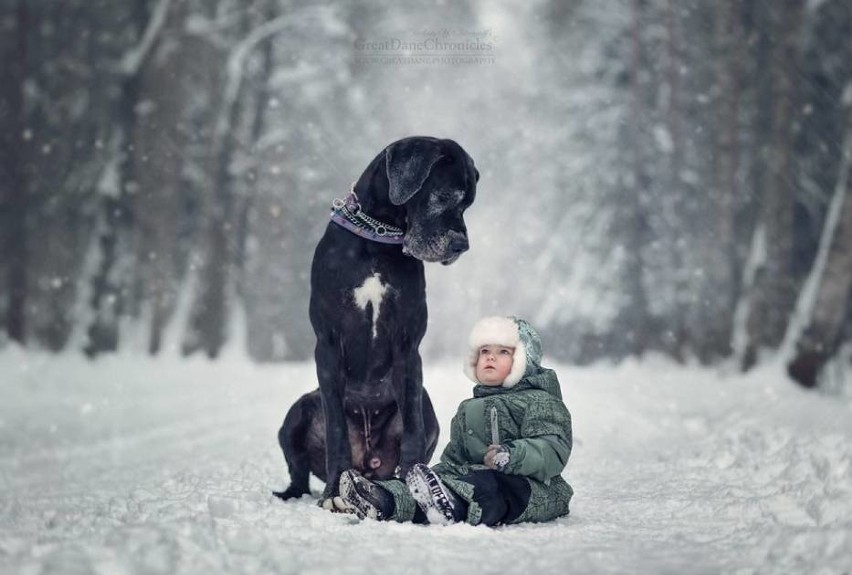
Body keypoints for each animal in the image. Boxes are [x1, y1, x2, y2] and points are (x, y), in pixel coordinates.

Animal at [278, 137, 482, 506]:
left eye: (468, 204)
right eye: (444, 195)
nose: (462, 244)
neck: (377, 239)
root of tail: (368, 462)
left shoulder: (407, 346)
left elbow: (413, 428)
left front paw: (414, 484)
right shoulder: (328, 344)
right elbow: (336, 431)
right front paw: (335, 489)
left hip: (427, 407)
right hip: (296, 412)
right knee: (298, 474)